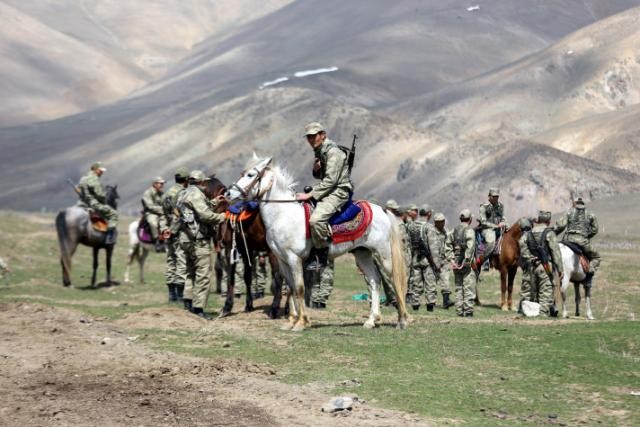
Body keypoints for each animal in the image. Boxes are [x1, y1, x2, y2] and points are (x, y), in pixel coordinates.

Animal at [228, 156, 408, 332]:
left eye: (250, 175)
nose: (229, 192)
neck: (282, 215)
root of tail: (382, 210)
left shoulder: (294, 258)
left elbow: (299, 288)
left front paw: (302, 322)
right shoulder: (282, 260)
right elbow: (290, 288)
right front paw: (291, 321)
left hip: (383, 254)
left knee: (394, 280)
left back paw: (402, 320)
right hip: (363, 254)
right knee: (374, 281)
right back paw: (372, 320)